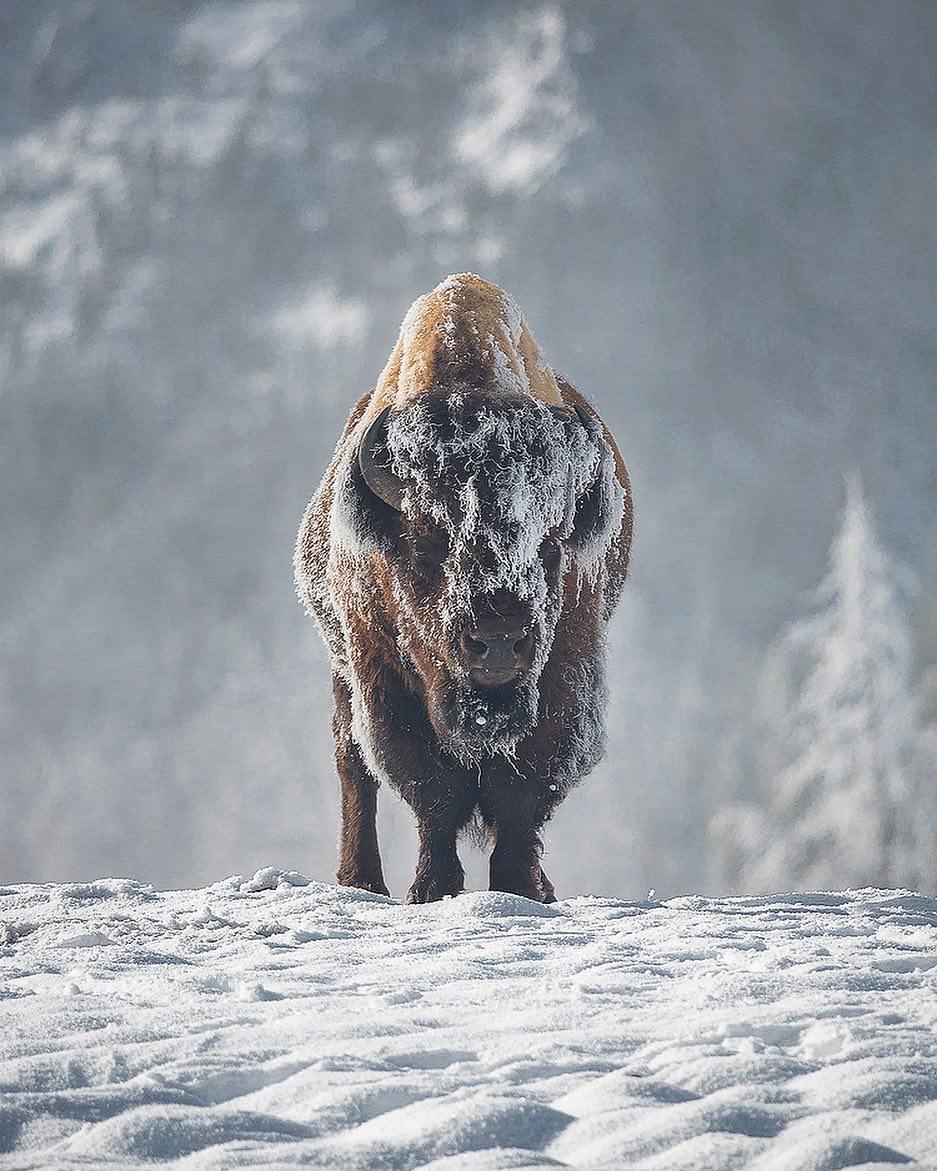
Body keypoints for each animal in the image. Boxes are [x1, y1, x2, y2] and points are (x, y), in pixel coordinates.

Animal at [295, 274, 627, 904]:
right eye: (424, 545)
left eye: (551, 547)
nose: (498, 639)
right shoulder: (381, 675)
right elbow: (432, 790)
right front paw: (432, 889)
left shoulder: (564, 673)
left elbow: (524, 793)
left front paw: (523, 888)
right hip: (340, 673)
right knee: (353, 766)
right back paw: (362, 880)